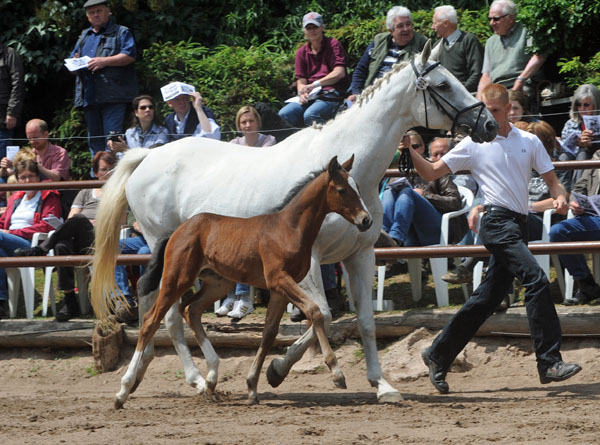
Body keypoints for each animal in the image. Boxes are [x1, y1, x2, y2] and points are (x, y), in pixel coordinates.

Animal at [113, 154, 370, 408]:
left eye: (358, 187)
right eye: (341, 190)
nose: (366, 220)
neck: (289, 228)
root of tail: (177, 230)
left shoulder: (279, 290)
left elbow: (269, 333)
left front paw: (253, 386)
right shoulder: (279, 279)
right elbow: (315, 312)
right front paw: (337, 373)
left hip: (218, 283)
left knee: (190, 310)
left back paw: (211, 378)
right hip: (177, 278)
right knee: (151, 320)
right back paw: (123, 391)